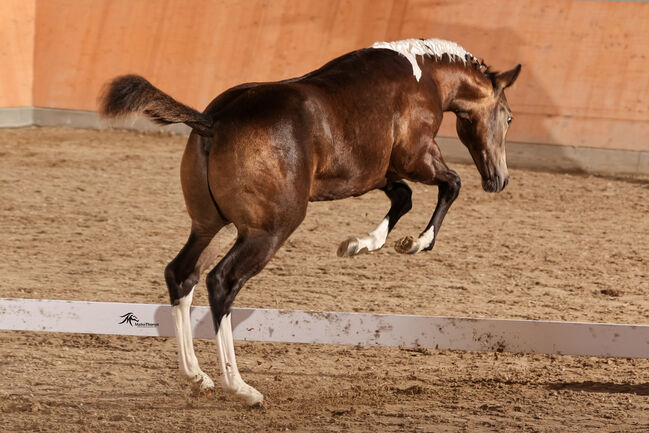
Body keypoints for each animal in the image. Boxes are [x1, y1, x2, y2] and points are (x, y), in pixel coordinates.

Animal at [98, 37, 520, 404]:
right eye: (509, 117)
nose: (498, 179)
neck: (422, 77)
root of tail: (213, 120)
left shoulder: (372, 174)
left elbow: (403, 198)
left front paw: (358, 245)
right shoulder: (417, 159)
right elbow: (450, 184)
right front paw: (415, 243)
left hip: (211, 226)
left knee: (182, 274)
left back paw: (196, 376)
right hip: (268, 231)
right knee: (222, 283)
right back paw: (240, 387)